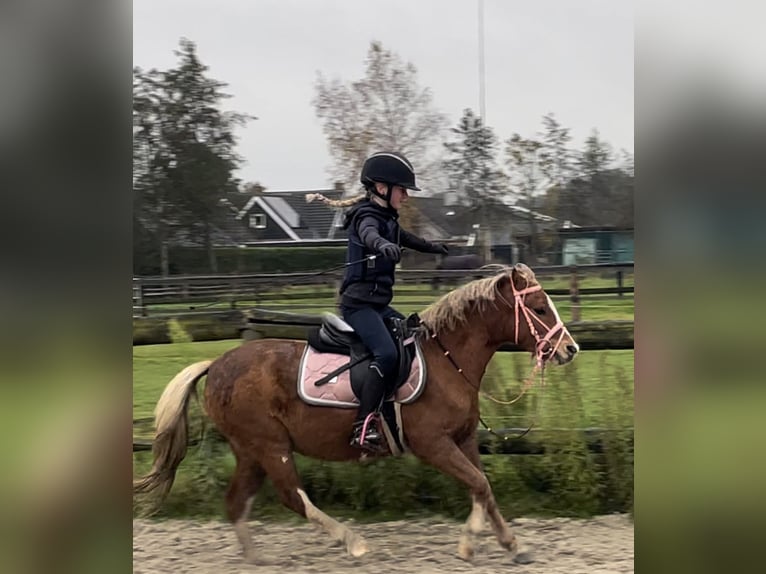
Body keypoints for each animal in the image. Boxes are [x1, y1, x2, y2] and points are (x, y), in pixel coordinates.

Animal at [135, 266, 580, 568]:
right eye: (540, 308)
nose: (569, 349)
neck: (445, 360)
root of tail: (215, 365)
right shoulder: (434, 445)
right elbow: (477, 485)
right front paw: (470, 542)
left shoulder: (464, 439)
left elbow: (483, 489)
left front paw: (511, 545)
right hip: (270, 445)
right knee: (292, 496)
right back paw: (353, 542)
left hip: (250, 451)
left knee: (236, 502)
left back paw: (256, 558)